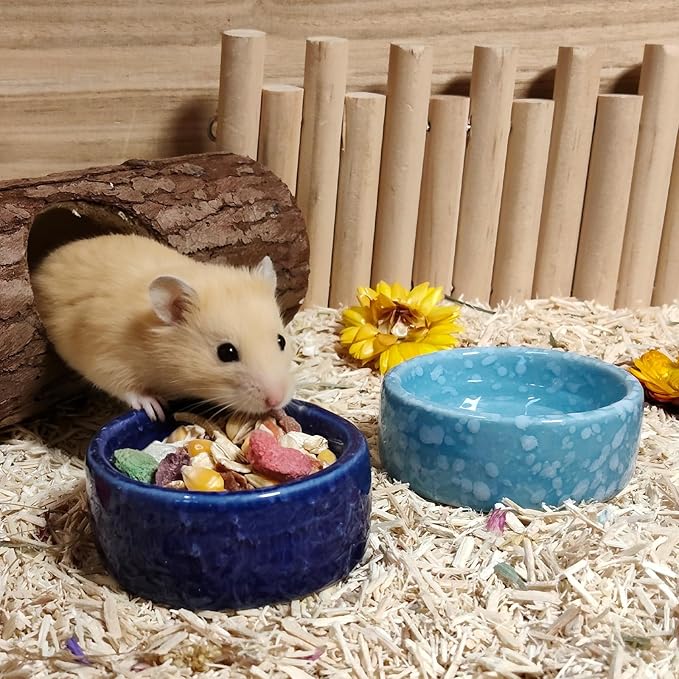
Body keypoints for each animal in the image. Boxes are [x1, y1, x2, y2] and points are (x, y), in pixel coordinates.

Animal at [31, 233, 295, 421]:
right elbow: (127, 388)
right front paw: (156, 408)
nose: (276, 400)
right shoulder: (104, 358)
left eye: (281, 341)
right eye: (226, 352)